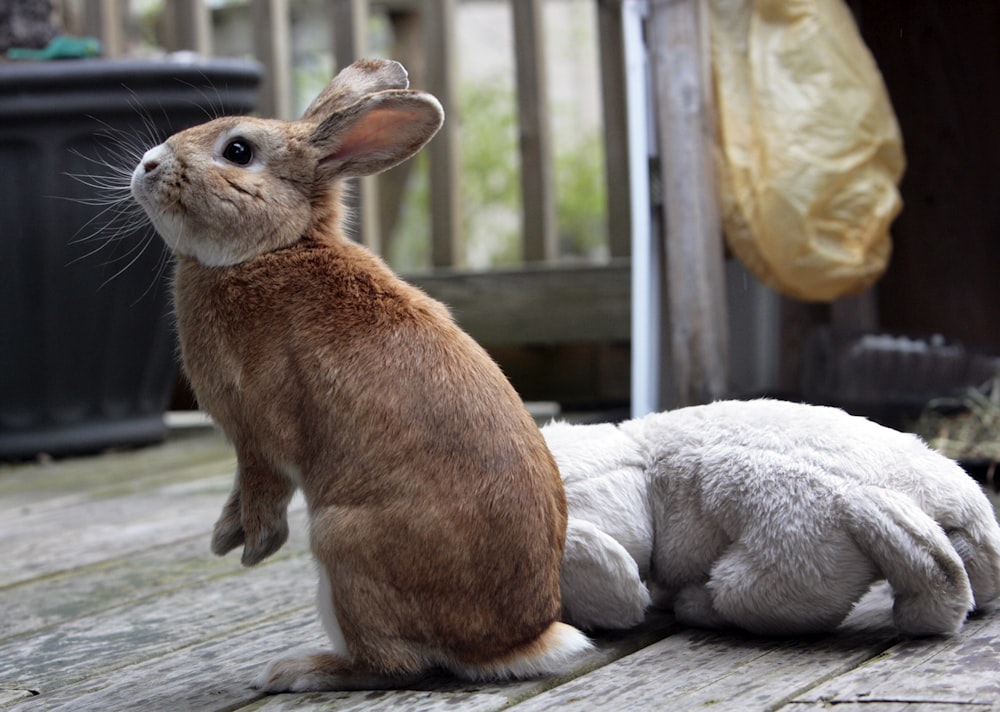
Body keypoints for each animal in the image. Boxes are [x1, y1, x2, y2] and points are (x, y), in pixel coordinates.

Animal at [128, 58, 588, 692]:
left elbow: (262, 486)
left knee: (392, 664)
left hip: (342, 545)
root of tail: (515, 645)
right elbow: (239, 489)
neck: (269, 249)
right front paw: (224, 538)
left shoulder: (259, 431)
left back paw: (297, 670)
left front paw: (253, 547)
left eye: (238, 151)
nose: (148, 164)